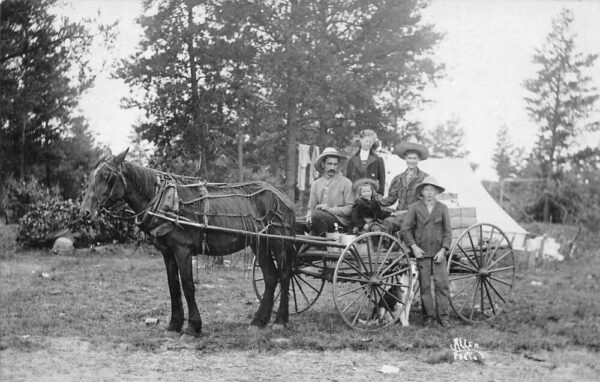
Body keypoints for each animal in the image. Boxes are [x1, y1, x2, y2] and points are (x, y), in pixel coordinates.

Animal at [81, 148, 296, 336]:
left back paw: (280, 321)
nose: (84, 213)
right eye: (91, 176)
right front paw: (174, 325)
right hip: (260, 243)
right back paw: (259, 321)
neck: (166, 202)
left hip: (278, 241)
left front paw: (192, 327)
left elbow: (187, 285)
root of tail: (283, 196)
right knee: (271, 277)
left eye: (107, 176)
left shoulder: (182, 250)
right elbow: (173, 286)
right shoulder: (167, 252)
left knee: (285, 275)